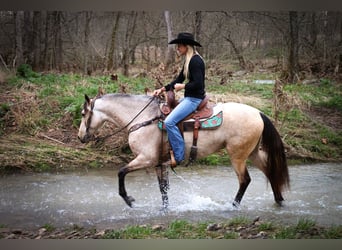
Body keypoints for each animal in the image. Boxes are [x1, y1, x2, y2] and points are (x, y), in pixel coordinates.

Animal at [77, 89, 288, 210]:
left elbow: (121, 172)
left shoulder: (146, 159)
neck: (143, 118)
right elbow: (163, 189)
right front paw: (165, 209)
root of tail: (258, 113)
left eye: (83, 113)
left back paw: (233, 206)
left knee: (245, 180)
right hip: (252, 153)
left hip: (237, 156)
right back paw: (279, 200)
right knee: (270, 171)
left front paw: (128, 199)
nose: (80, 137)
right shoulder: (159, 163)